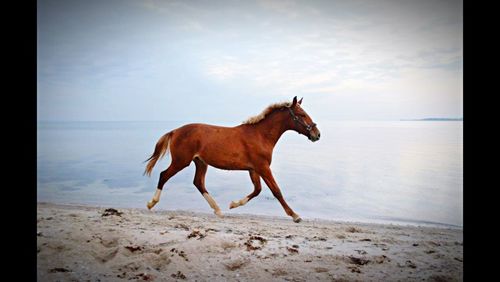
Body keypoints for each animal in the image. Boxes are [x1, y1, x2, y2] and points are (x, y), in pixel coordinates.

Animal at [144, 96, 320, 223]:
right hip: (181, 161)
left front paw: (233, 204)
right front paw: (295, 215)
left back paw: (218, 210)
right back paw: (151, 203)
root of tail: (175, 131)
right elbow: (276, 191)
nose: (317, 134)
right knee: (164, 175)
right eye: (302, 115)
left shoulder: (253, 169)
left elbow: (257, 190)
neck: (260, 135)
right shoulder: (263, 167)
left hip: (200, 162)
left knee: (198, 183)